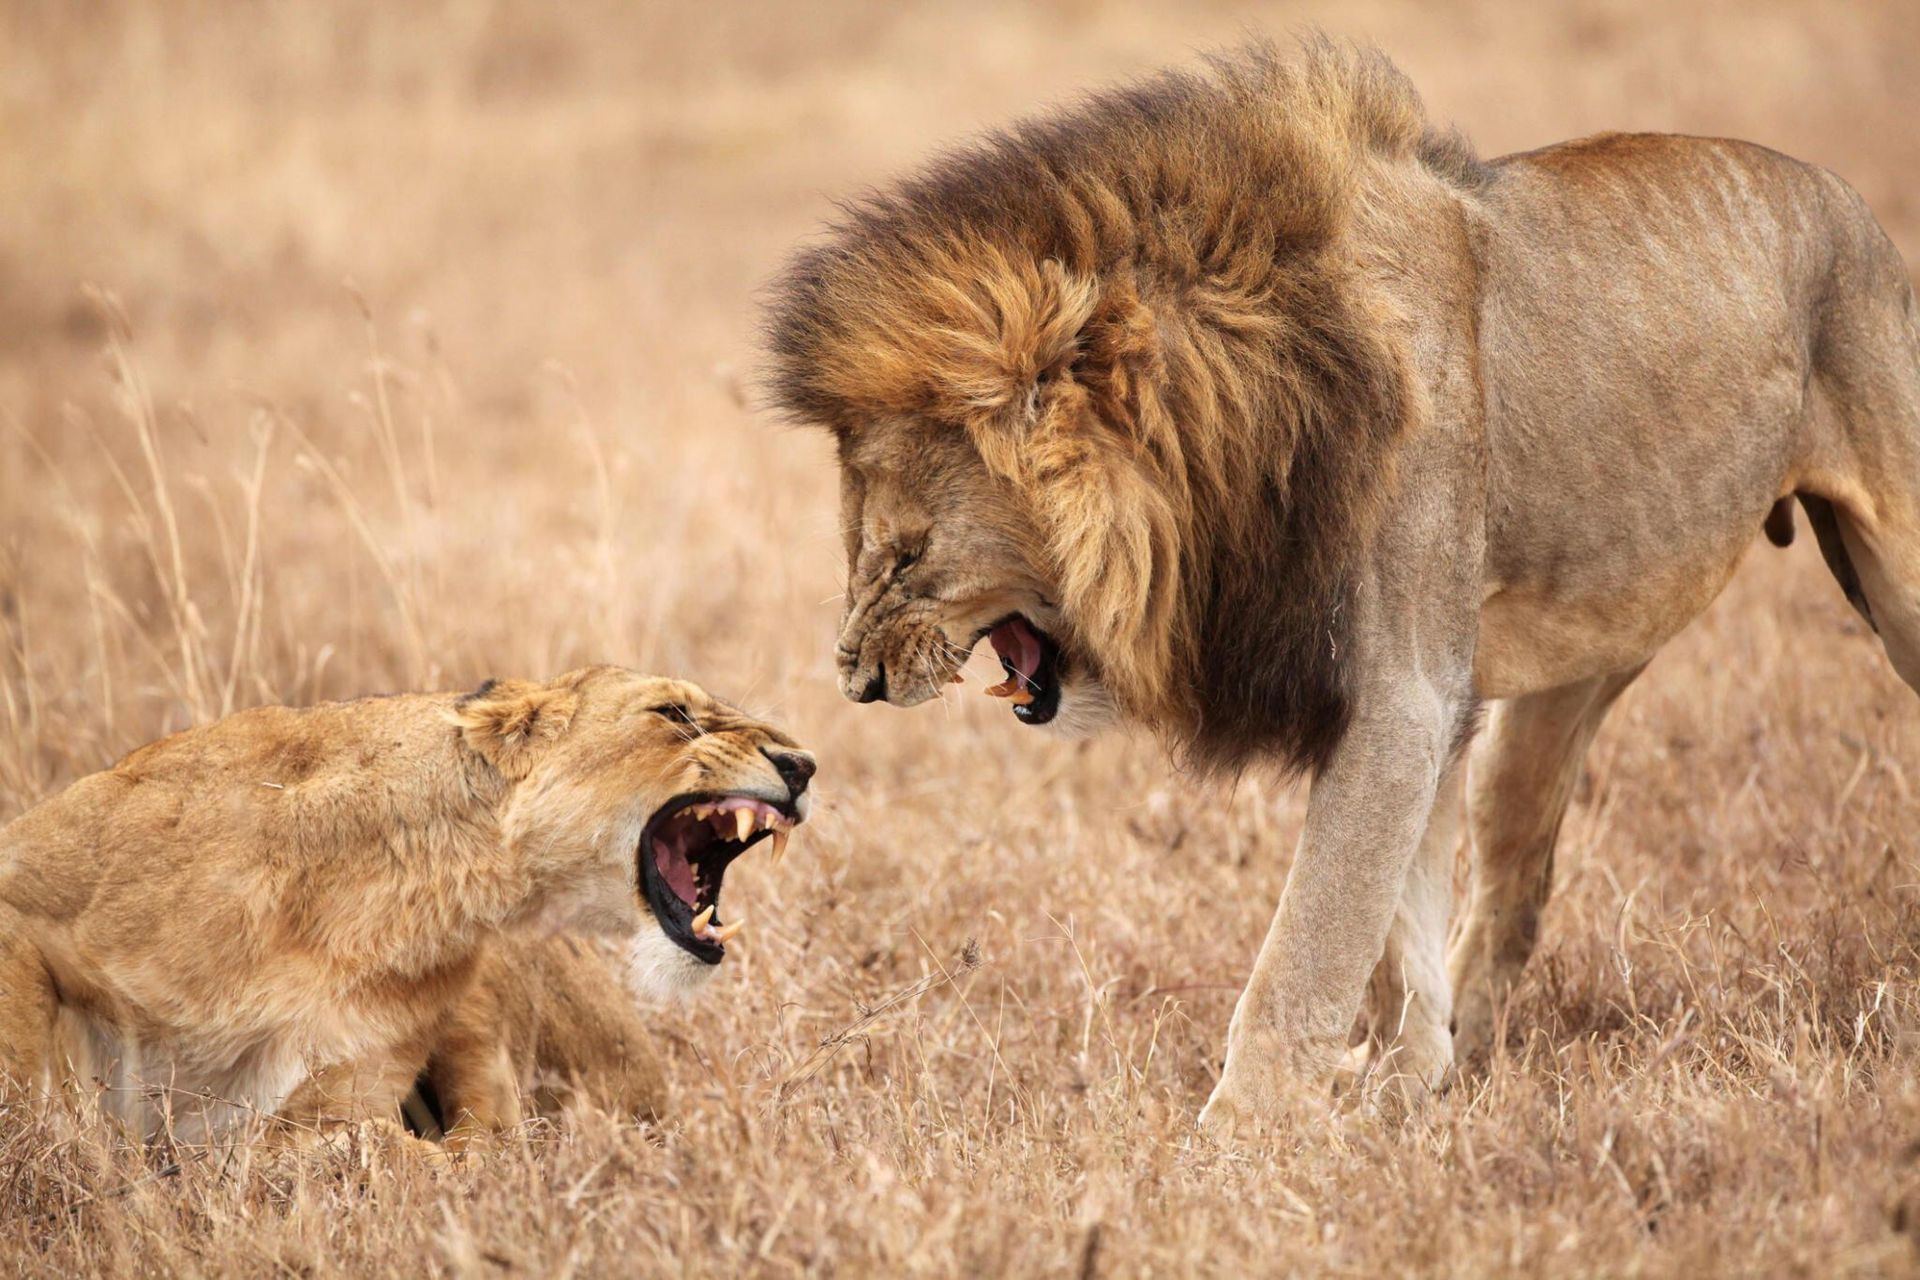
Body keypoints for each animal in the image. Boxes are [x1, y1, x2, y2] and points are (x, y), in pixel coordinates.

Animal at [0, 666, 814, 1143]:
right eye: (673, 713)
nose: (804, 765)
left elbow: (359, 1152)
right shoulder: (26, 889)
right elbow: (20, 1088)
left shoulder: (348, 1082)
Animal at [763, 38, 1920, 1133]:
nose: (854, 678)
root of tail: (1850, 203)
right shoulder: (1425, 706)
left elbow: (1309, 943)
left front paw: (1232, 1144)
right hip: (1562, 681)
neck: (1247, 421)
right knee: (1513, 884)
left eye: (906, 553)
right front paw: (1400, 1095)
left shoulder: (1402, 694)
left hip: (1898, 573)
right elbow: (1397, 925)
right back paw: (1471, 1067)